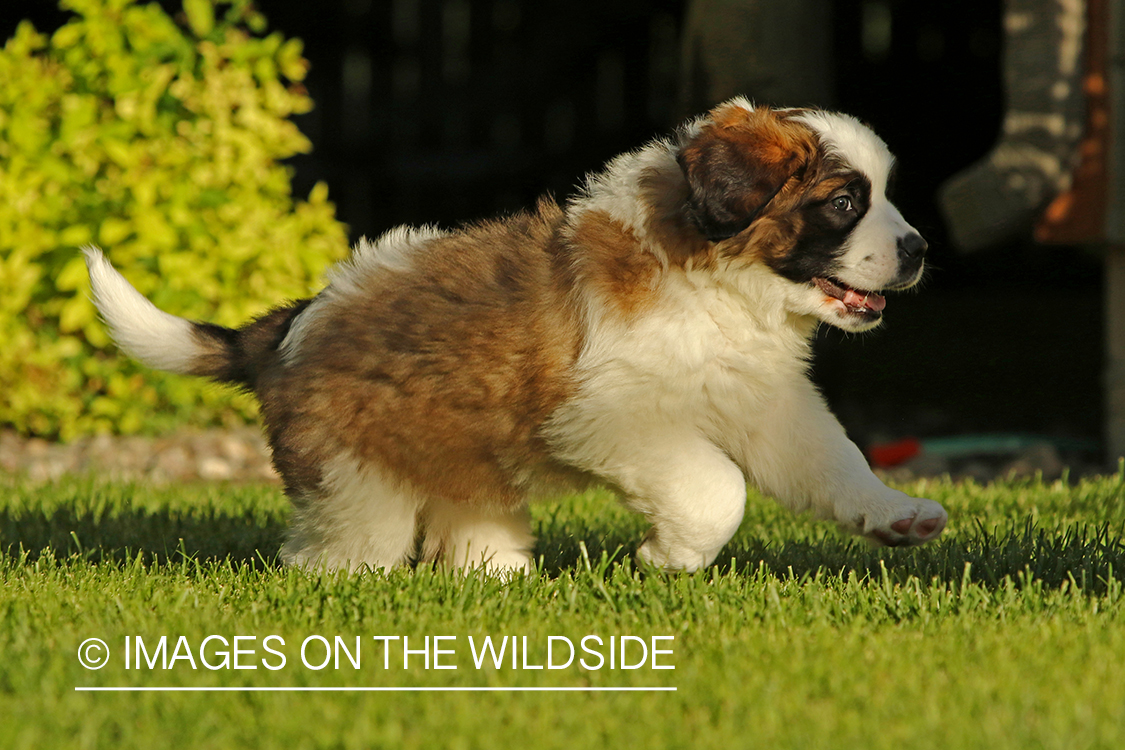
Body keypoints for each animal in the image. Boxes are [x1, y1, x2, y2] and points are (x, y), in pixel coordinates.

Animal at [87, 96, 945, 571]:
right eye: (845, 202)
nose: (918, 250)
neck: (720, 286)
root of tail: (295, 318)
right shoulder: (607, 417)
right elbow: (715, 488)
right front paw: (669, 557)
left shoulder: (769, 406)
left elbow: (832, 460)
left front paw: (892, 511)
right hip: (352, 478)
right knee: (338, 549)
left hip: (466, 466)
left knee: (468, 529)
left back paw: (493, 576)